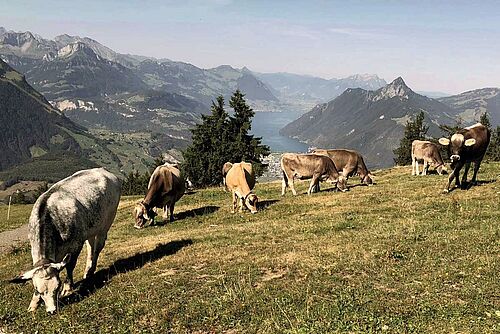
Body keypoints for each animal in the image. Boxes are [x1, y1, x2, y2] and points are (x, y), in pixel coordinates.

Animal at [10, 168, 121, 314]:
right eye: (38, 290)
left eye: (57, 287)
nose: (52, 311)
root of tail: (103, 170)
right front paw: (33, 304)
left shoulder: (75, 244)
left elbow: (70, 266)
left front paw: (67, 289)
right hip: (90, 228)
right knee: (90, 247)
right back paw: (87, 271)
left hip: (105, 224)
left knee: (97, 248)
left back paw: (91, 270)